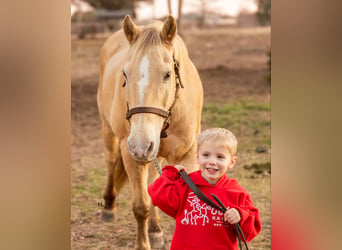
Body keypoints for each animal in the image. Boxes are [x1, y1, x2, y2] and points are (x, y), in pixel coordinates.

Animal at [96, 14, 203, 249]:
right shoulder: (131, 155)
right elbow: (140, 206)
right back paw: (109, 207)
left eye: (167, 75)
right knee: (110, 161)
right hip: (108, 131)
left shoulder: (186, 153)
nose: (140, 145)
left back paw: (155, 231)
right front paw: (142, 244)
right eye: (125, 74)